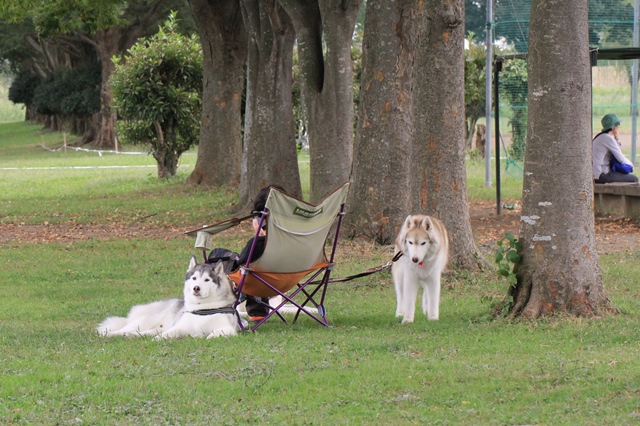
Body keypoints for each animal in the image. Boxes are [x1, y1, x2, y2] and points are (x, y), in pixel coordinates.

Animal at [97, 256, 245, 340]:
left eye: (207, 280)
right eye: (194, 278)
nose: (196, 288)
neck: (203, 309)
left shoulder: (229, 328)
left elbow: (218, 331)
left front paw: (211, 336)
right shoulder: (178, 327)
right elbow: (167, 334)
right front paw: (159, 339)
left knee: (143, 333)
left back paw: (131, 336)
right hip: (141, 322)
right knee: (123, 329)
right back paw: (110, 334)